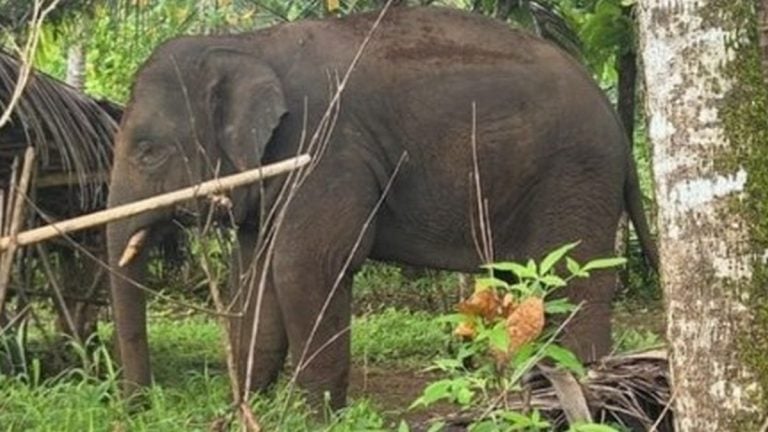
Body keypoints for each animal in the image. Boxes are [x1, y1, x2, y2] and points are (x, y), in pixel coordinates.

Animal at [106, 6, 658, 409]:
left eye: (148, 152)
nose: (138, 404)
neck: (250, 44)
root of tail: (615, 120)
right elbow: (257, 273)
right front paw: (249, 403)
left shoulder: (324, 148)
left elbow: (308, 265)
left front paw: (311, 414)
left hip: (576, 175)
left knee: (572, 281)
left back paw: (575, 396)